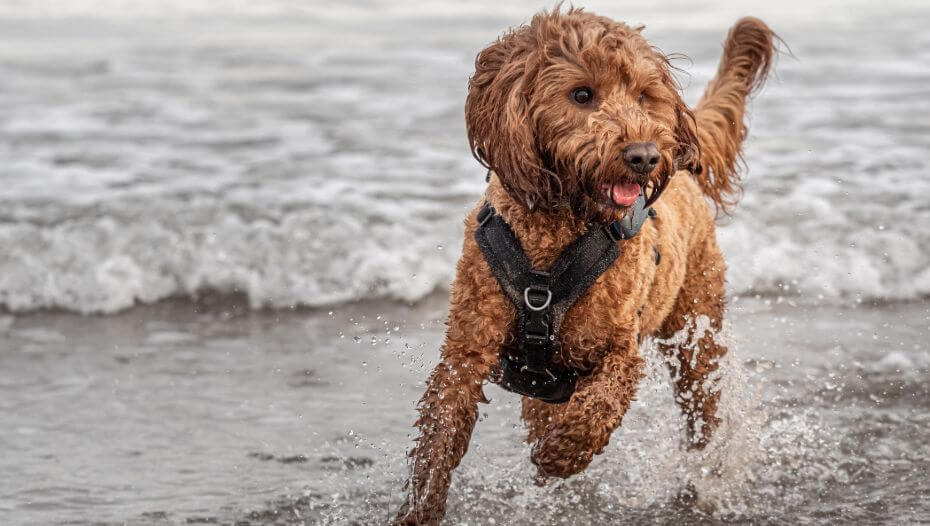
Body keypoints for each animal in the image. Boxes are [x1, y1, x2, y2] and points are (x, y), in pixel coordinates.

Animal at [394, 8, 776, 526]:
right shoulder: (466, 350)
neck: (554, 233)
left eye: (643, 96)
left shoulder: (619, 351)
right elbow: (440, 433)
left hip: (696, 330)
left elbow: (598, 409)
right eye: (581, 95)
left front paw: (561, 455)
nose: (644, 156)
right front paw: (420, 506)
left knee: (701, 404)